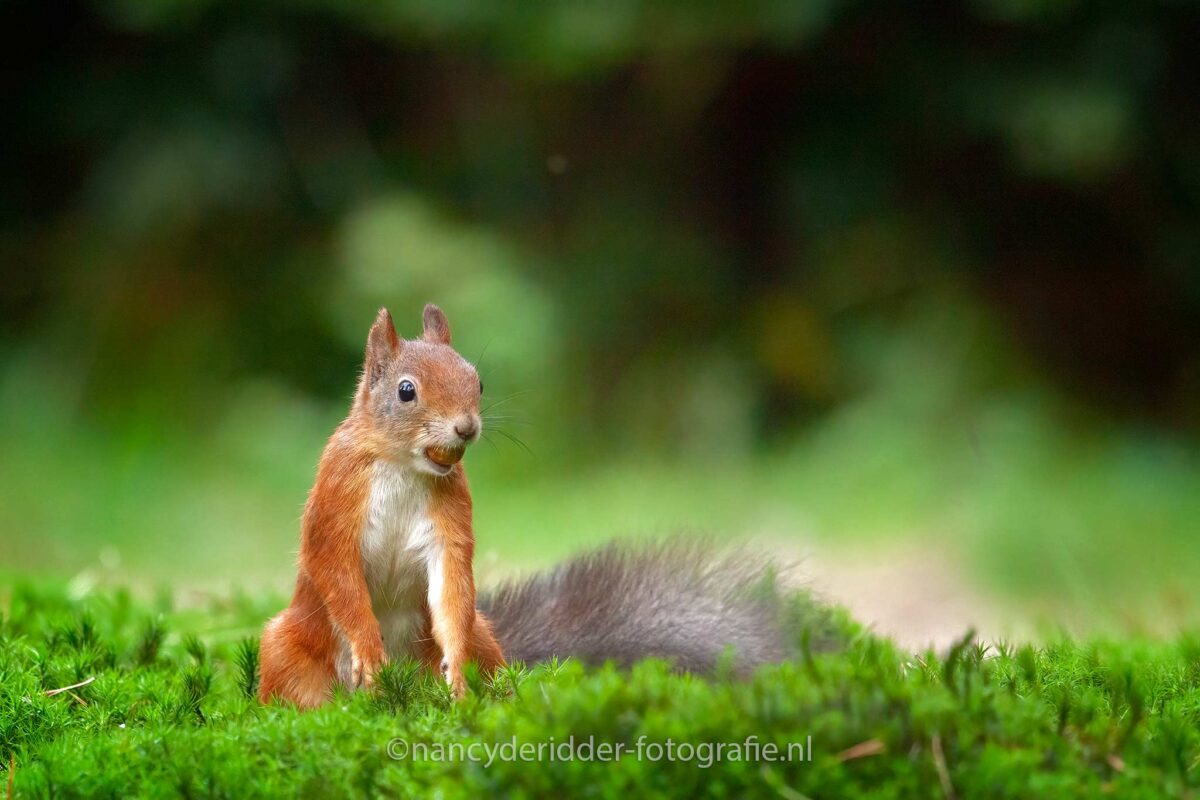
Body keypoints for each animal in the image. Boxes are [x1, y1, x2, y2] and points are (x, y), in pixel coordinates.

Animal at [259, 304, 800, 708]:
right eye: (406, 390)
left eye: (477, 382)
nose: (466, 428)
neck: (402, 466)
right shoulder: (337, 496)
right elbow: (337, 572)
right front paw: (369, 653)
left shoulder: (448, 519)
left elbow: (452, 586)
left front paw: (456, 672)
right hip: (288, 646)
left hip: (483, 639)